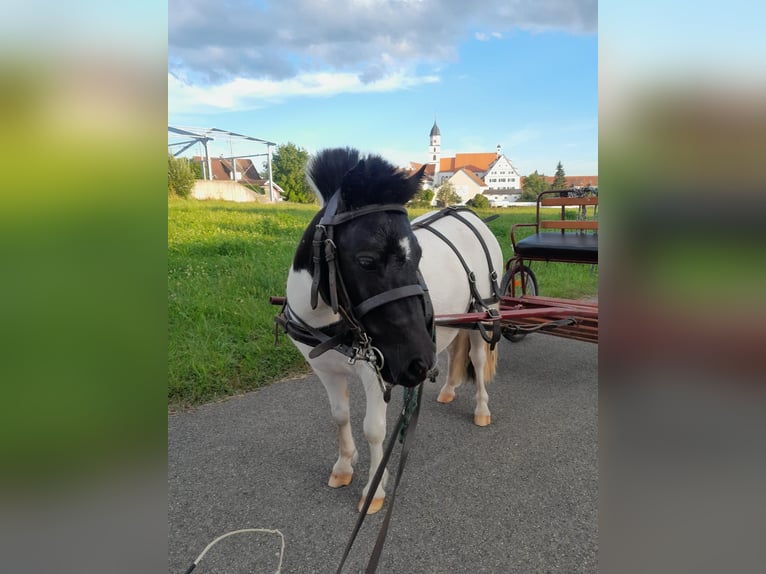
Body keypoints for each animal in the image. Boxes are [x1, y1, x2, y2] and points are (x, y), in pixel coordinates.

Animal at [280, 148, 508, 516]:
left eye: (418, 255)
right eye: (366, 260)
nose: (418, 363)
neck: (330, 323)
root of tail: (468, 215)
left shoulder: (378, 369)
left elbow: (374, 429)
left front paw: (374, 490)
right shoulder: (325, 369)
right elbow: (339, 416)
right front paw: (344, 466)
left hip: (483, 313)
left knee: (475, 357)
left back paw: (481, 409)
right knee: (451, 352)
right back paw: (447, 389)